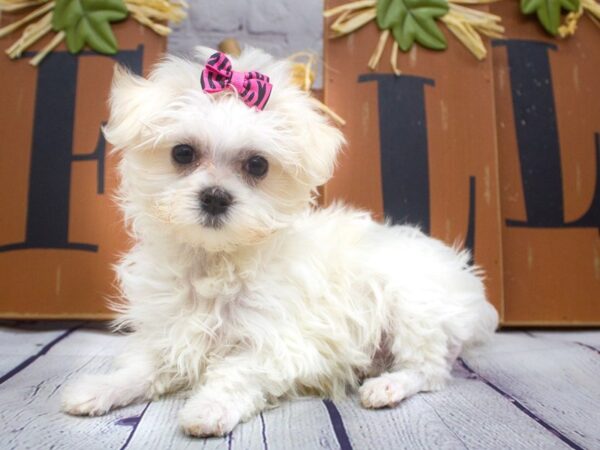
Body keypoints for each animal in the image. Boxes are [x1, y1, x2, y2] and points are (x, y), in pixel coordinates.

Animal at [63, 48, 500, 436]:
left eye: (257, 165)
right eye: (182, 153)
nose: (215, 197)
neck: (216, 260)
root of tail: (466, 280)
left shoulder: (279, 341)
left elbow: (238, 371)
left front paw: (209, 407)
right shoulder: (169, 331)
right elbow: (141, 366)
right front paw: (100, 388)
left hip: (413, 307)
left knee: (429, 369)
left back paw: (387, 386)